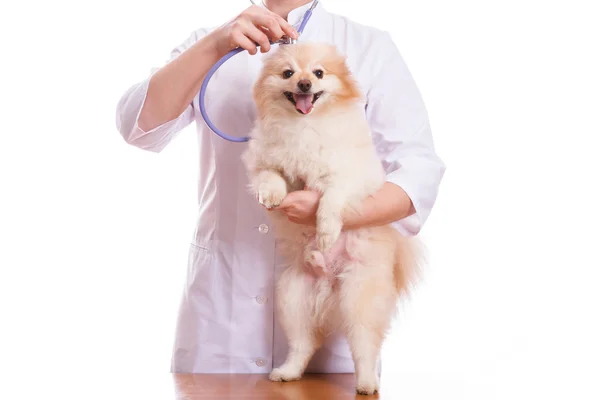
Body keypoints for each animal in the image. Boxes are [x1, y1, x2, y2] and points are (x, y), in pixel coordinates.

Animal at [240, 43, 422, 394]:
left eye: (319, 73)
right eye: (288, 73)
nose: (304, 84)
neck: (304, 126)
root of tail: (329, 282)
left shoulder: (351, 175)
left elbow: (331, 197)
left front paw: (325, 230)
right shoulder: (267, 160)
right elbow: (271, 175)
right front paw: (271, 195)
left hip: (359, 297)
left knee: (364, 346)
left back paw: (366, 382)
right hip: (293, 297)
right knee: (303, 343)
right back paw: (287, 371)